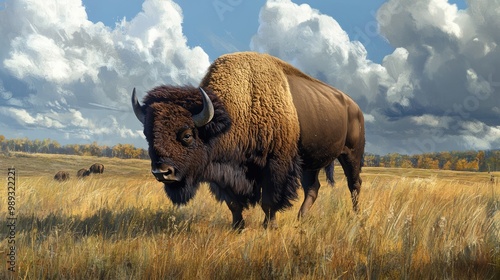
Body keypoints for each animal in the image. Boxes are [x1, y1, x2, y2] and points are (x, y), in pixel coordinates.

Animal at [133, 51, 366, 229]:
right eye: (148, 134)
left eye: (187, 135)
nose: (162, 172)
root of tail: (354, 106)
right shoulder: (223, 175)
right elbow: (234, 204)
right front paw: (237, 227)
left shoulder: (276, 165)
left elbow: (269, 201)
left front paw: (269, 226)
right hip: (311, 162)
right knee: (313, 188)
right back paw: (301, 219)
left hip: (351, 154)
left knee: (354, 184)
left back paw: (355, 216)